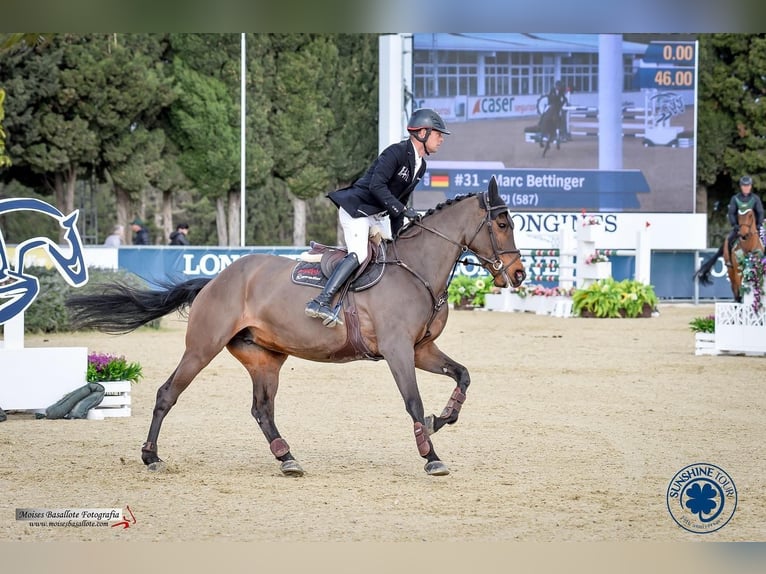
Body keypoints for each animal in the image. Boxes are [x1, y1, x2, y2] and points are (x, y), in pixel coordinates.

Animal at [66, 178, 528, 480]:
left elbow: (462, 376)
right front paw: (430, 454)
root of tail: (217, 279)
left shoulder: (421, 350)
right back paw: (151, 457)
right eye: (502, 224)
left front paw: (440, 420)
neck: (416, 269)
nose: (519, 274)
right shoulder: (398, 351)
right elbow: (412, 402)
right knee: (167, 394)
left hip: (264, 357)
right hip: (202, 347)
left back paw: (286, 457)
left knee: (262, 409)